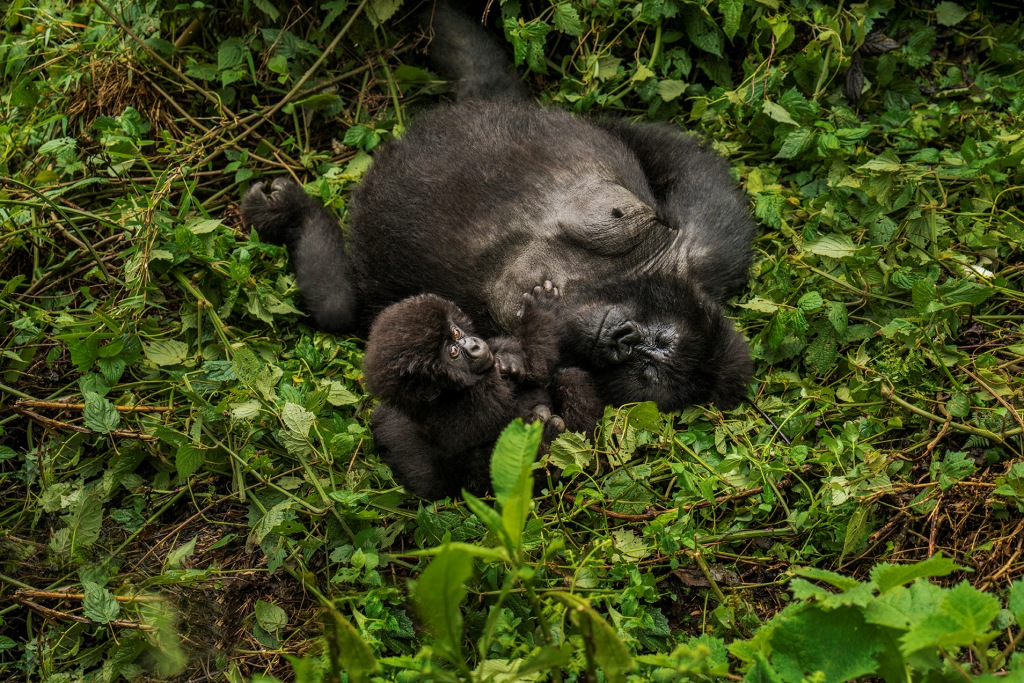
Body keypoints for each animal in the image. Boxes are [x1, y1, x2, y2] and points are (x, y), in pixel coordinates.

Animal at [237, 1, 753, 411]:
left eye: (647, 371)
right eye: (654, 339)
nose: (623, 341)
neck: (616, 284)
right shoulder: (705, 252)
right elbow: (676, 157)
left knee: (340, 308)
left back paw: (294, 216)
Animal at [362, 282, 602, 497]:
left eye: (456, 333)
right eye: (453, 352)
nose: (474, 345)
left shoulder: (492, 349)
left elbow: (532, 368)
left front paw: (512, 355)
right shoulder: (471, 405)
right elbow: (536, 366)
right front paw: (539, 311)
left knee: (570, 379)